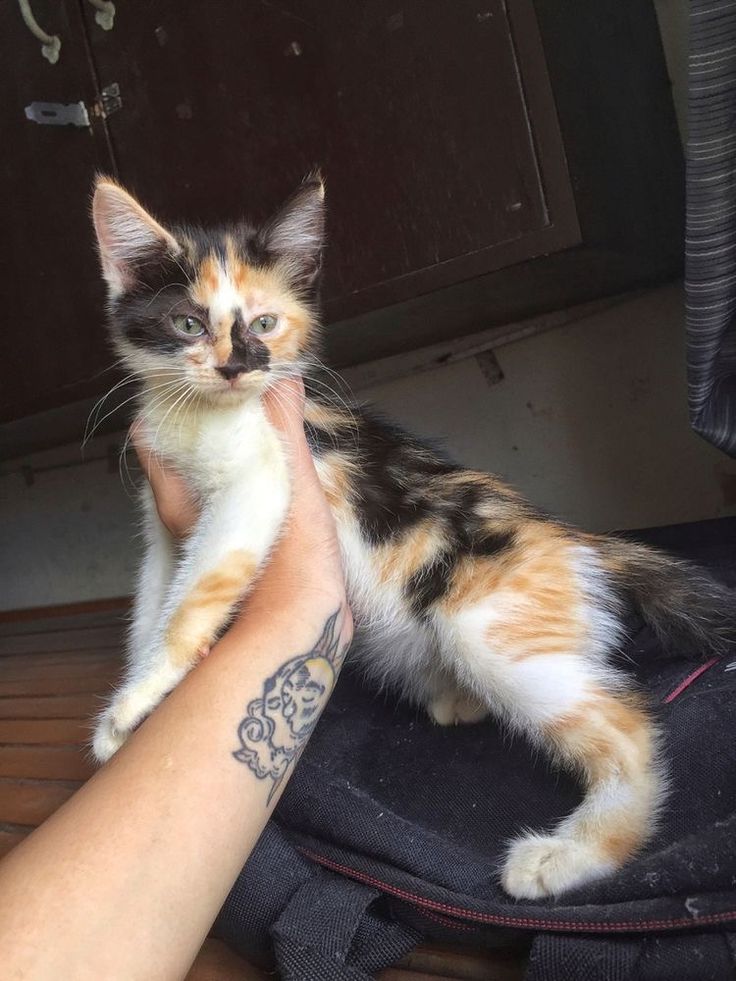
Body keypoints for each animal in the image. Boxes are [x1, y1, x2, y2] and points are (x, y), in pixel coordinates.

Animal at [89, 174, 732, 896]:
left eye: (264, 323)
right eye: (188, 324)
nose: (237, 369)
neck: (196, 410)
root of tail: (574, 538)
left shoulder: (259, 480)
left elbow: (193, 597)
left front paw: (136, 702)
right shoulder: (163, 525)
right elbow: (152, 601)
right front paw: (129, 708)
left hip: (486, 624)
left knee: (629, 728)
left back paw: (572, 854)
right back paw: (459, 702)